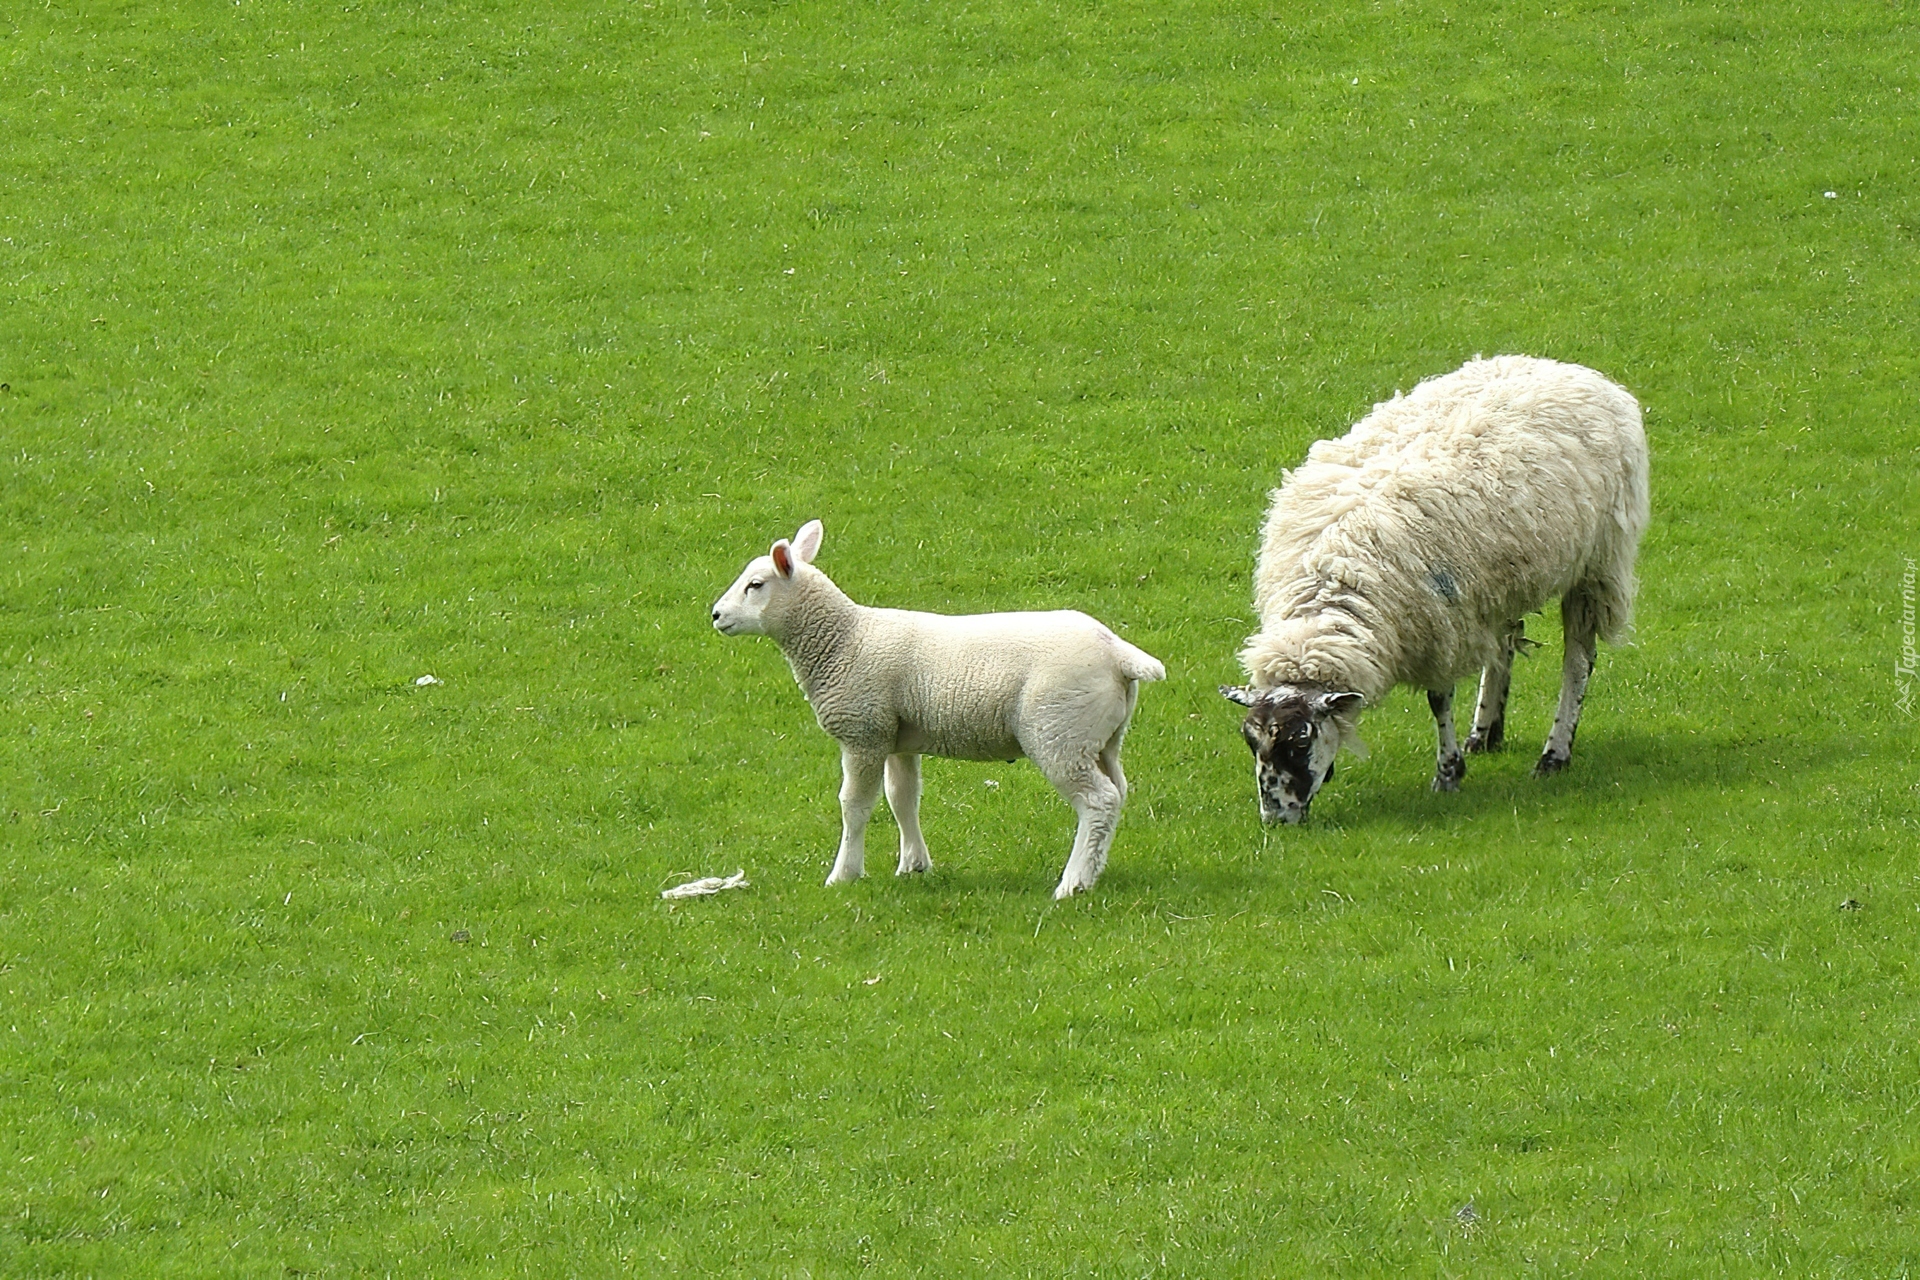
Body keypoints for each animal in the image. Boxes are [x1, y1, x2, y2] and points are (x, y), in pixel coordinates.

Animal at [706, 521, 1152, 901]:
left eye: (755, 585)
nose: (716, 615)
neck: (844, 639)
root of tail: (1119, 655)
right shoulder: (896, 736)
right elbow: (902, 797)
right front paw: (913, 865)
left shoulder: (863, 732)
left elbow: (855, 806)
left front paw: (844, 874)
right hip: (1099, 737)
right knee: (1117, 793)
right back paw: (1093, 871)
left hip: (1058, 732)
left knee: (1097, 801)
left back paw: (1072, 883)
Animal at [1213, 355, 1651, 825]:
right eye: (1251, 740)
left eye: (1299, 741)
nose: (1276, 820)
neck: (1333, 583)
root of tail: (1573, 369)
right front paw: (1462, 755)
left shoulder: (1438, 627)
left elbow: (1439, 700)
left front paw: (1448, 773)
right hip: (1500, 580)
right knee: (1505, 642)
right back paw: (1486, 732)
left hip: (1596, 565)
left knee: (1578, 662)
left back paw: (1554, 754)